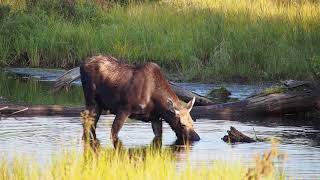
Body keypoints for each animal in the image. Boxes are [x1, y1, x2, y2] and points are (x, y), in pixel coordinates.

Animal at [54, 55, 200, 143]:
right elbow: (113, 133)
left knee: (91, 121)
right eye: (182, 124)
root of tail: (81, 65)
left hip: (99, 105)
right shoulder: (124, 109)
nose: (197, 138)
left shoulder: (155, 117)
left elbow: (158, 136)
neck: (158, 104)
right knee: (86, 118)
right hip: (90, 98)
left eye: (193, 122)